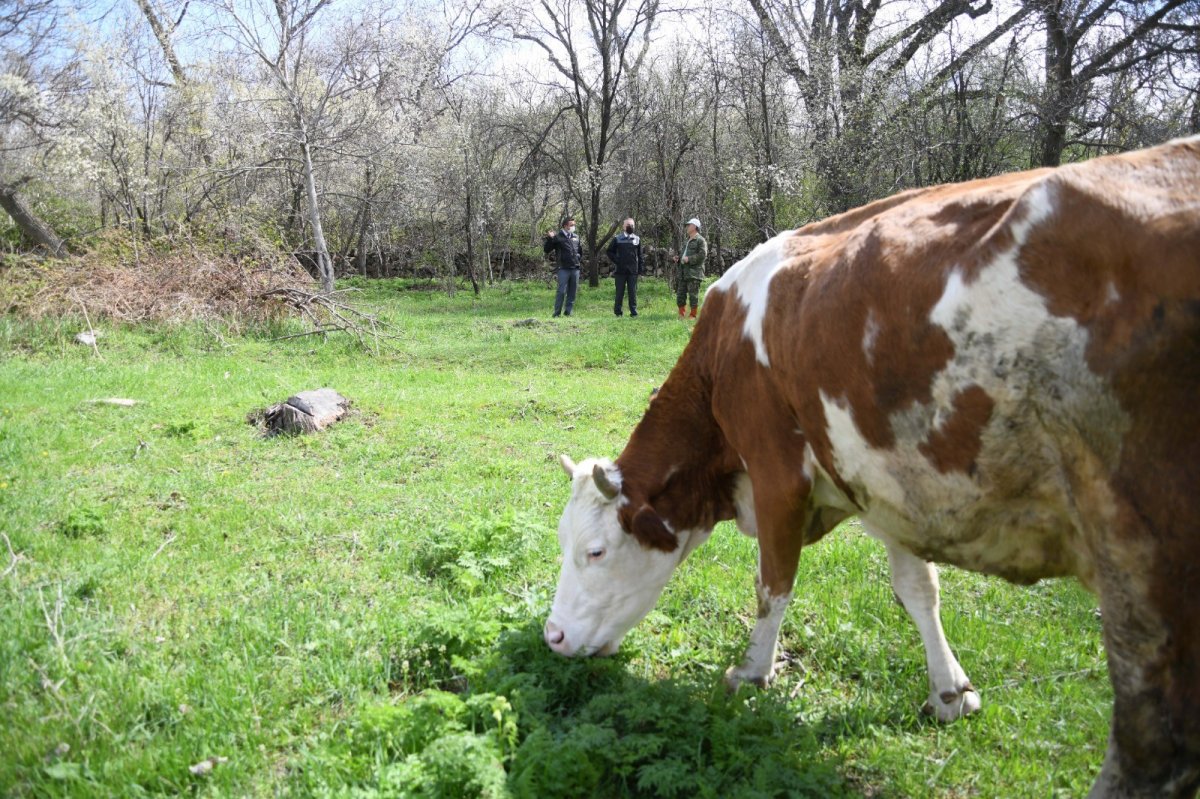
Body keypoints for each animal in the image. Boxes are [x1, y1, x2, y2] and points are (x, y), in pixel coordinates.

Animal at [547, 136, 1200, 796]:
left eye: (596, 551)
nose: (552, 636)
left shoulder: (777, 471)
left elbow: (772, 583)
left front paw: (751, 673)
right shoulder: (884, 485)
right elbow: (918, 590)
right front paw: (950, 691)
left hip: (1150, 564)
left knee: (1154, 741)